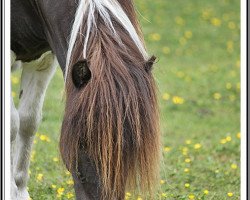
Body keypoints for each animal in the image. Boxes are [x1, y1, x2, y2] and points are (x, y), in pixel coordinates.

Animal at [10, 0, 160, 199]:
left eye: (133, 144)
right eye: (81, 143)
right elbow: (12, 125)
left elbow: (28, 122)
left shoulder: (44, 59)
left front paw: (19, 190)